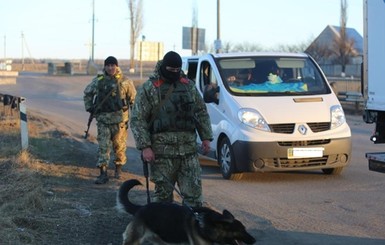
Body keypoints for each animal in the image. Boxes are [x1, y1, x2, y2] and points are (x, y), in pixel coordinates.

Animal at [115, 178, 256, 245]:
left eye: (245, 229)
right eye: (240, 231)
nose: (254, 240)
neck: (205, 223)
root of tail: (141, 208)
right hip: (134, 240)